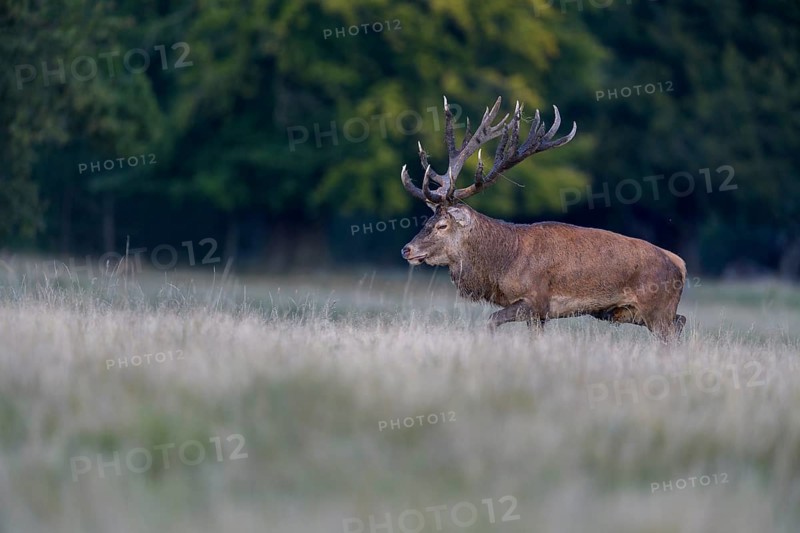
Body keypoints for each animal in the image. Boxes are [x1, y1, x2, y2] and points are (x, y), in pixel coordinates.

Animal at [400, 96, 687, 341]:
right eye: (426, 221)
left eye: (442, 225)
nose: (407, 249)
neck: (504, 263)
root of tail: (680, 264)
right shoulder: (539, 314)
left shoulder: (536, 300)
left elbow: (491, 320)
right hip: (637, 313)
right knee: (682, 321)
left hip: (657, 307)